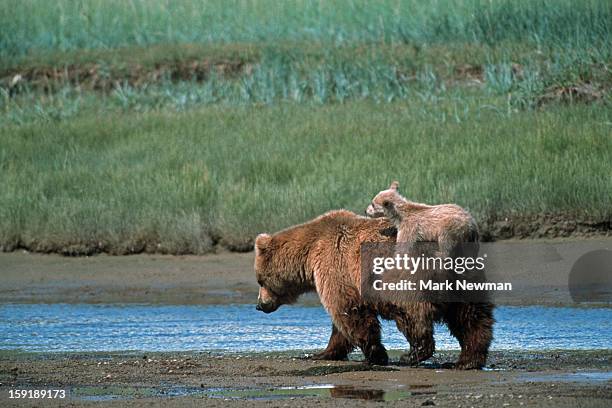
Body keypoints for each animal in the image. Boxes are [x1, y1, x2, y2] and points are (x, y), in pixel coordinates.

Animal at [253, 209, 492, 368]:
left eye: (260, 281)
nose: (259, 305)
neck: (310, 253)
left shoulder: (335, 267)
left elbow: (349, 312)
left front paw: (376, 355)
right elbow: (341, 323)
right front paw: (323, 353)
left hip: (410, 275)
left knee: (412, 314)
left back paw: (413, 353)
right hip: (464, 276)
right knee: (471, 317)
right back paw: (469, 359)